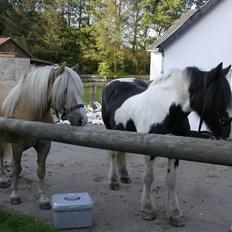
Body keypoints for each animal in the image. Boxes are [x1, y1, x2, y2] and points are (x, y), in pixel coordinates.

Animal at [0, 62, 87, 209]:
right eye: (65, 90)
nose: (82, 119)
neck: (31, 113)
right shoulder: (17, 146)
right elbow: (17, 169)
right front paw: (15, 195)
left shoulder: (44, 146)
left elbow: (41, 171)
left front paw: (43, 198)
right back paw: (3, 179)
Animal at [101, 62, 232, 227]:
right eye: (216, 97)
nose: (228, 135)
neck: (166, 112)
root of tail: (113, 82)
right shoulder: (149, 151)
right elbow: (148, 178)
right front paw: (147, 210)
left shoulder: (175, 150)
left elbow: (171, 181)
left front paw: (174, 213)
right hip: (109, 130)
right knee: (113, 154)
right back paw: (113, 182)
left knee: (121, 152)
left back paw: (125, 176)